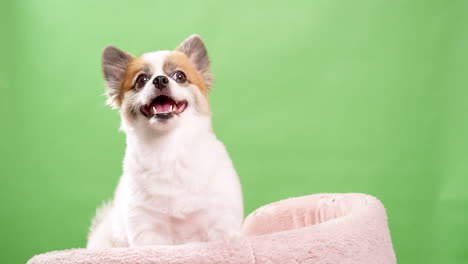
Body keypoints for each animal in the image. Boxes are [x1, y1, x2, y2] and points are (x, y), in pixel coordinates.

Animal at [85, 34, 243, 248]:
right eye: (141, 80)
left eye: (180, 76)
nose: (160, 79)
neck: (169, 149)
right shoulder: (147, 230)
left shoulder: (221, 222)